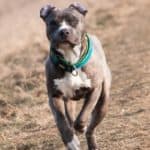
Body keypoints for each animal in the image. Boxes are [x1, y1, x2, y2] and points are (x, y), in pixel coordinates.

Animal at [39, 2, 111, 150]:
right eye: (53, 23)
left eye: (74, 20)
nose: (64, 31)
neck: (71, 61)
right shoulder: (54, 96)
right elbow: (61, 122)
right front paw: (71, 141)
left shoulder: (94, 90)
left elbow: (84, 114)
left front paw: (80, 127)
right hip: (69, 102)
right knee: (71, 118)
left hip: (104, 101)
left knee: (91, 128)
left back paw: (90, 141)